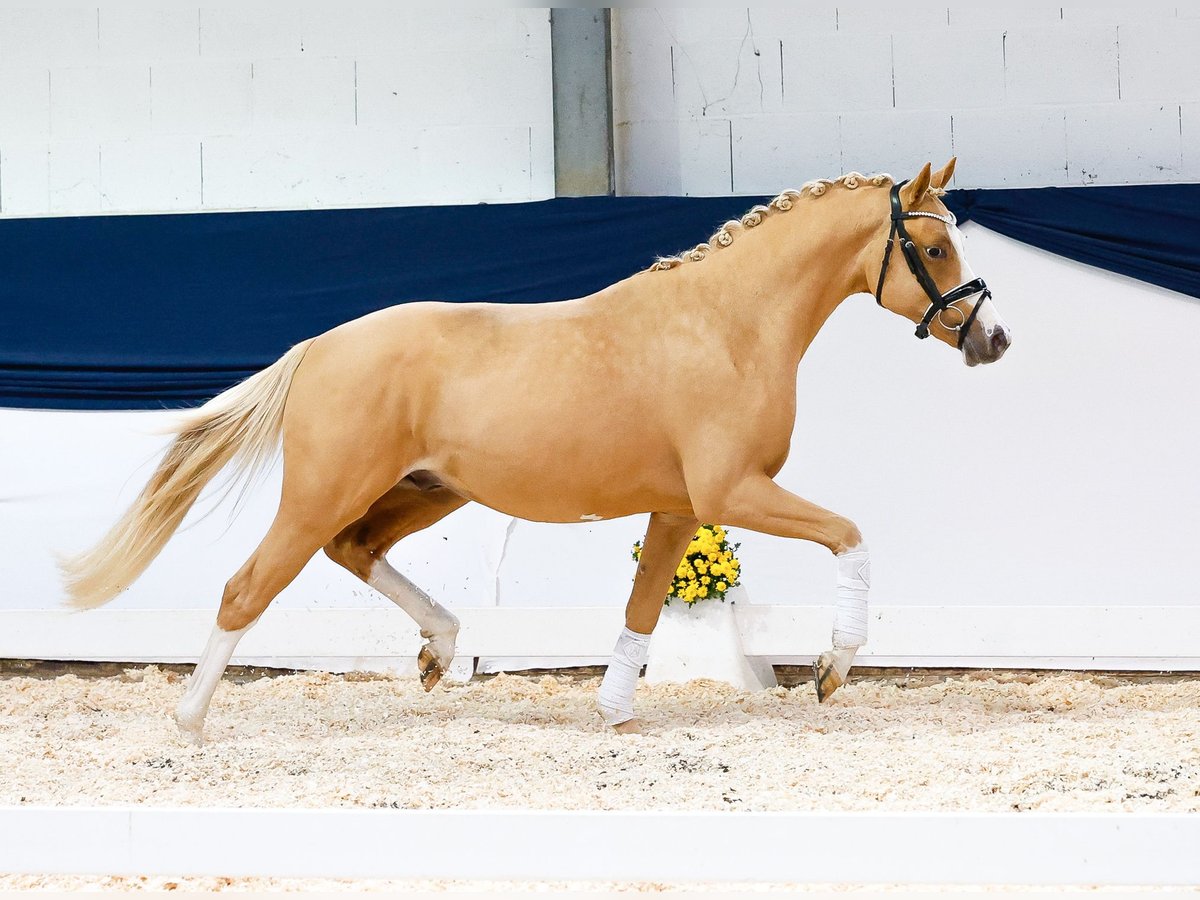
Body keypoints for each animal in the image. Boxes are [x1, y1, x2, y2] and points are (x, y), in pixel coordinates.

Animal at [60, 158, 1008, 744]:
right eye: (932, 246)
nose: (993, 339)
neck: (727, 325)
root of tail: (318, 348)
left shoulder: (679, 508)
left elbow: (640, 611)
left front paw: (616, 714)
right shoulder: (732, 491)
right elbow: (851, 536)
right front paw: (830, 671)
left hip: (427, 490)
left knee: (355, 550)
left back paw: (440, 652)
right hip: (326, 490)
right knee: (248, 586)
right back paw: (189, 724)